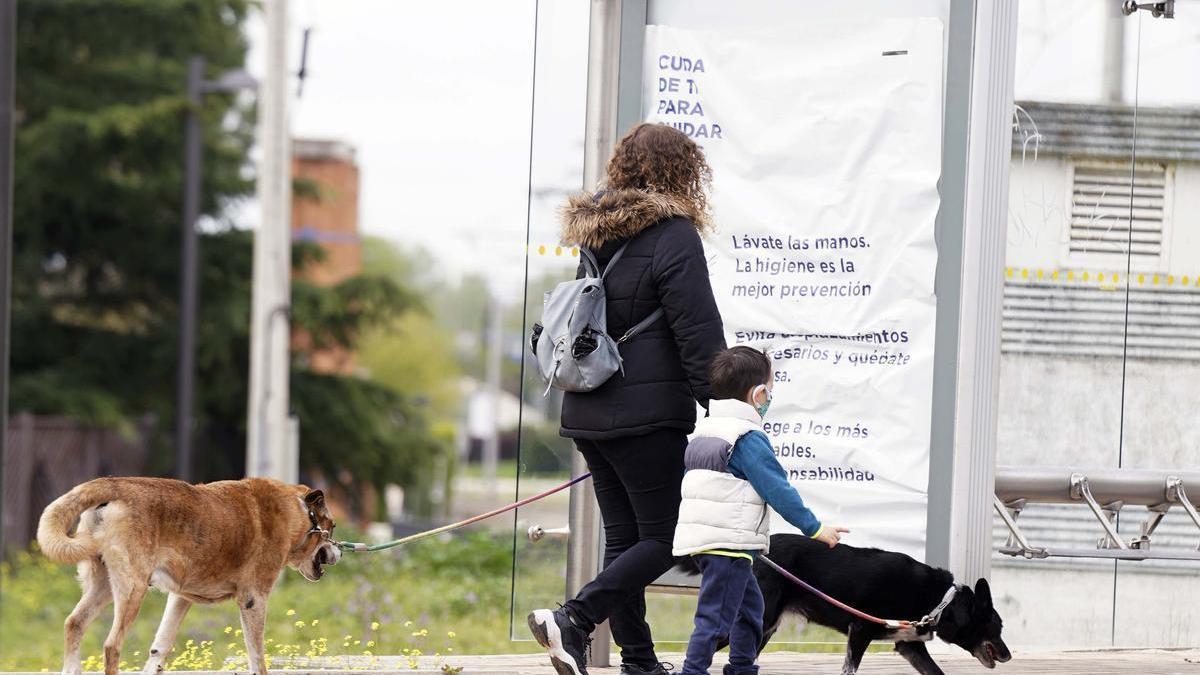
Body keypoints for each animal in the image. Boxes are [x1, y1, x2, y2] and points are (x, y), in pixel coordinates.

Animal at [35, 473, 343, 672]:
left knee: (74, 624)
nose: (340, 553)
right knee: (112, 645)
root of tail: (113, 485)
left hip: (102, 585)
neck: (297, 512)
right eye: (332, 526)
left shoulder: (180, 598)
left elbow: (160, 648)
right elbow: (257, 655)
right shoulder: (253, 600)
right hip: (132, 589)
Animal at [753, 533, 1008, 667]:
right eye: (996, 627)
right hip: (762, 622)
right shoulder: (860, 631)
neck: (940, 601)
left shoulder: (909, 646)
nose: (1008, 655)